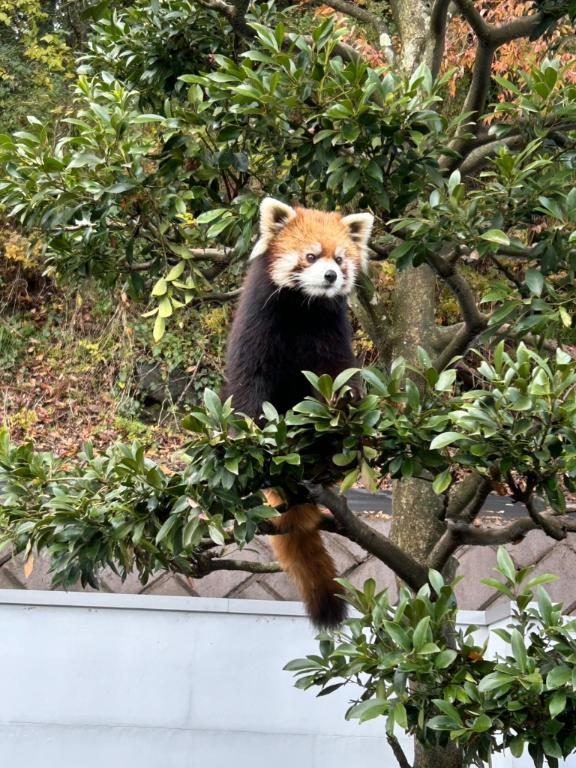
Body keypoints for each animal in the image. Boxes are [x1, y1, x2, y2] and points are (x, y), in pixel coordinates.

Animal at [220, 195, 374, 628]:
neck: (305, 308)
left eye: (340, 258)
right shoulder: (258, 326)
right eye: (310, 255)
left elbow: (339, 377)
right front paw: (254, 437)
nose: (331, 276)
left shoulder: (331, 335)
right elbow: (249, 384)